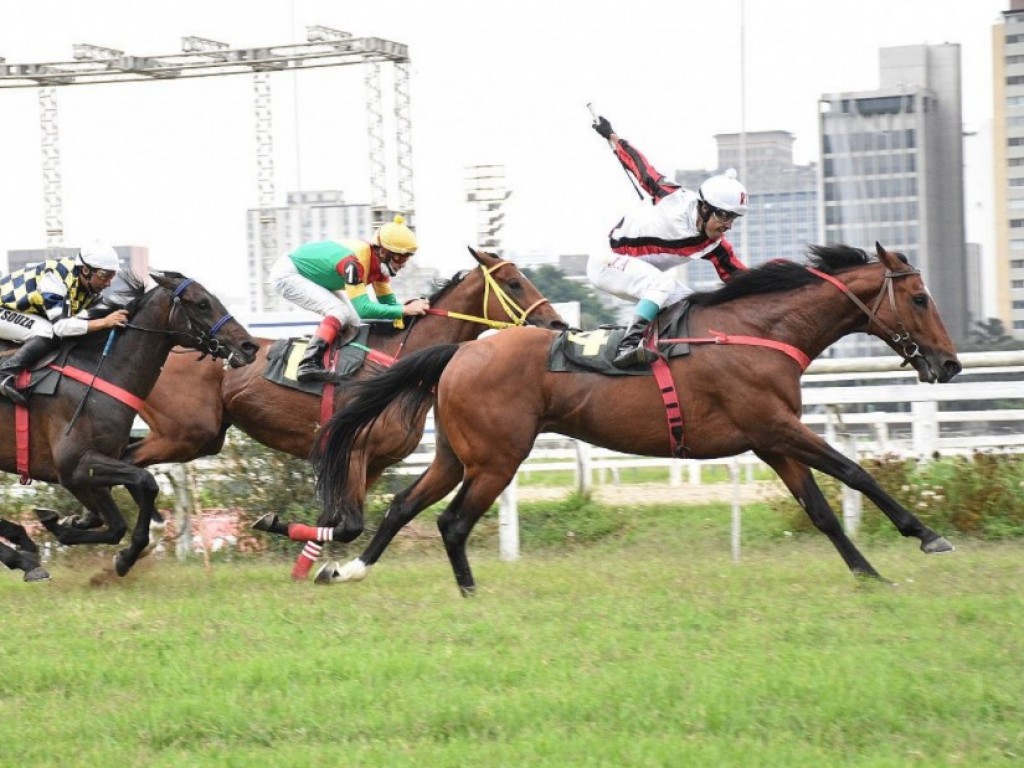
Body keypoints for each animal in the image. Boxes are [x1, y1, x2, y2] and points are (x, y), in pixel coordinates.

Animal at [1, 270, 256, 577]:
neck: (100, 371)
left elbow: (116, 519)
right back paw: (23, 557)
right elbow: (145, 483)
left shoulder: (95, 465)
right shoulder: (74, 463)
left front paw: (76, 528)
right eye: (202, 303)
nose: (249, 346)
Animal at [121, 249, 569, 569]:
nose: (557, 325)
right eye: (514, 283)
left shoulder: (374, 464)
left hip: (200, 438)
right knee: (127, 461)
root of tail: (170, 345)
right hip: (187, 433)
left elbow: (332, 522)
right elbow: (349, 525)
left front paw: (302, 563)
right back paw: (135, 541)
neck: (398, 365)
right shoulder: (352, 450)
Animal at [307, 244, 962, 593]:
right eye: (921, 298)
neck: (757, 331)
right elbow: (856, 473)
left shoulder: (771, 440)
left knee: (404, 506)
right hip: (497, 458)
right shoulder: (775, 427)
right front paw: (927, 535)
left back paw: (348, 571)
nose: (950, 363)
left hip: (456, 453)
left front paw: (868, 573)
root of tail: (460, 351)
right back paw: (467, 591)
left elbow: (821, 510)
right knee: (453, 522)